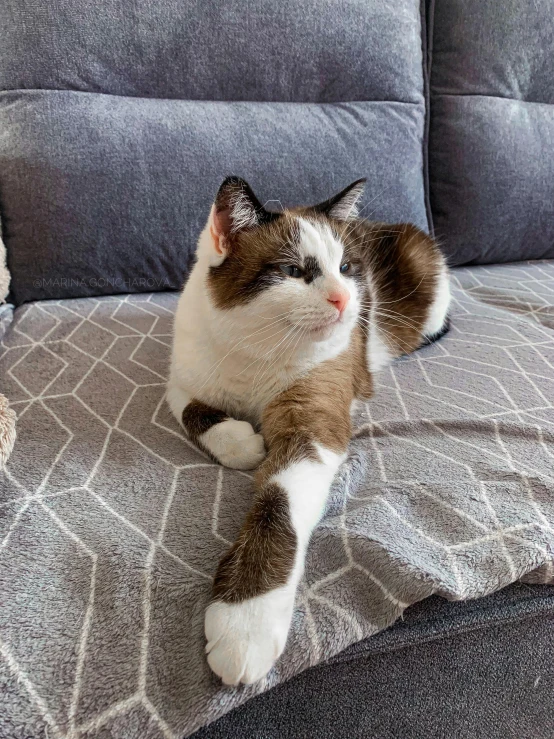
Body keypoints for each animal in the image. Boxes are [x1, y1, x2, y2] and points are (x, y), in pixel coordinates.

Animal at [167, 178, 448, 688]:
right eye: (294, 271)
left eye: (346, 268)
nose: (344, 300)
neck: (254, 352)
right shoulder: (180, 380)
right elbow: (196, 412)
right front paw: (241, 442)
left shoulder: (311, 427)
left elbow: (277, 503)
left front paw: (247, 621)